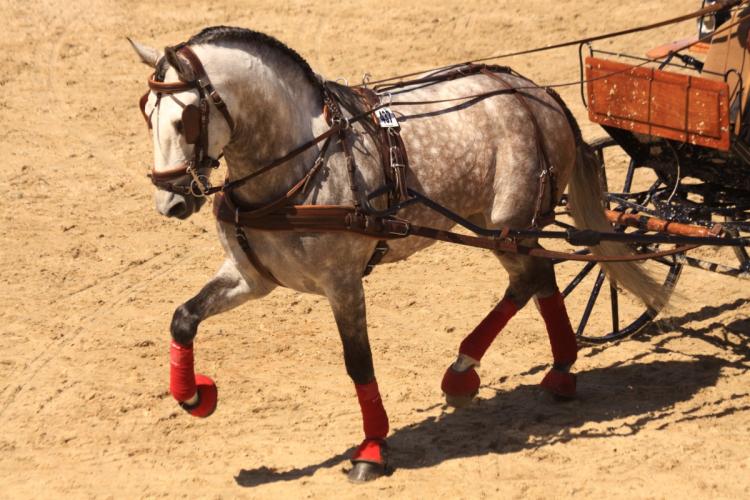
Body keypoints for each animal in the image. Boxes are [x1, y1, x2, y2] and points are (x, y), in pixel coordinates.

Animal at [129, 26, 663, 482]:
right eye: (147, 113)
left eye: (186, 119)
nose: (169, 202)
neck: (301, 163)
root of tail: (539, 93)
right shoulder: (250, 276)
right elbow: (183, 317)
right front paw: (195, 396)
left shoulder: (342, 283)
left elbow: (358, 362)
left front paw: (371, 449)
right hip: (504, 228)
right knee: (537, 279)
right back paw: (545, 372)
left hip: (507, 223)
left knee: (532, 278)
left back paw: (475, 372)